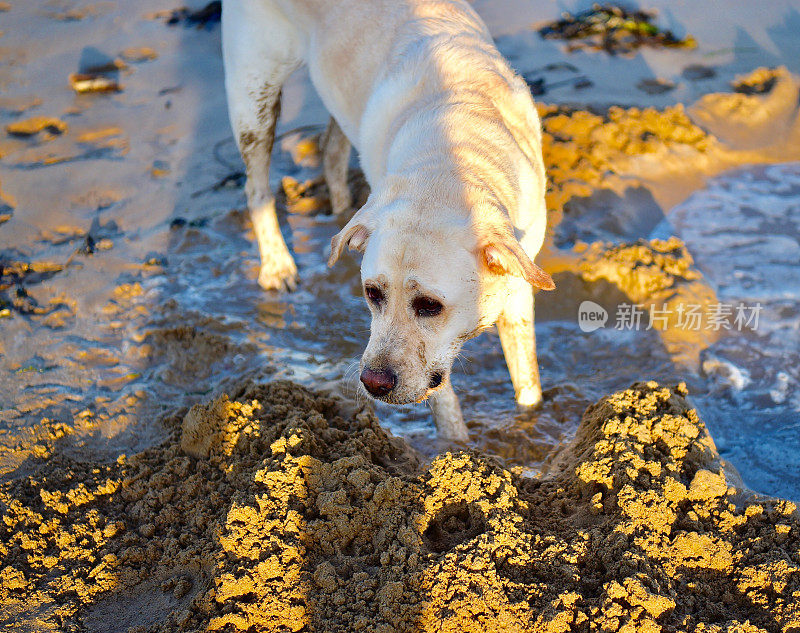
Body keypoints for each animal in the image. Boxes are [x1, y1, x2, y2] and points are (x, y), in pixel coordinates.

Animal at [222, 0, 552, 440]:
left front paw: (529, 422)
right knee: (256, 187)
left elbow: (526, 378)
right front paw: (458, 450)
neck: (447, 164)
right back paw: (277, 265)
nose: (373, 383)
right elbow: (444, 401)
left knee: (331, 146)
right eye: (372, 293)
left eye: (429, 305)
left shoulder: (518, 288)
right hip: (253, 96)